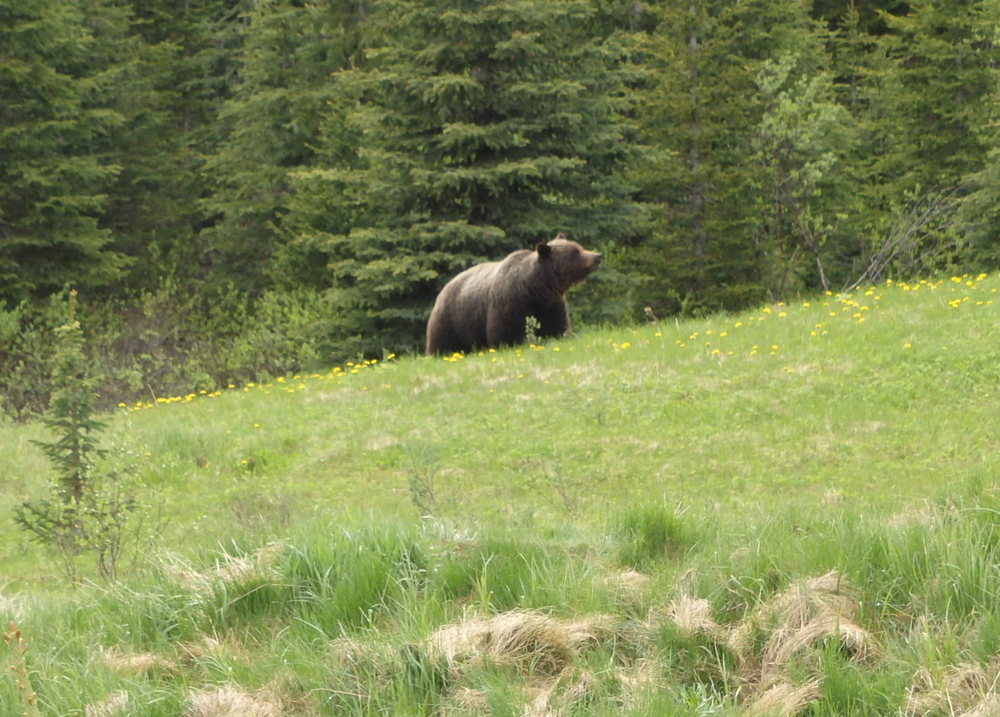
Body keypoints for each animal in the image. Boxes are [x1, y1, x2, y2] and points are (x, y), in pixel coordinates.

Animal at [424, 232, 600, 356]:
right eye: (575, 252)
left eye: (578, 246)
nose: (598, 256)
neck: (534, 290)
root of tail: (444, 288)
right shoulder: (509, 302)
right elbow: (504, 332)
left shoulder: (551, 305)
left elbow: (556, 326)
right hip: (453, 317)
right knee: (442, 341)